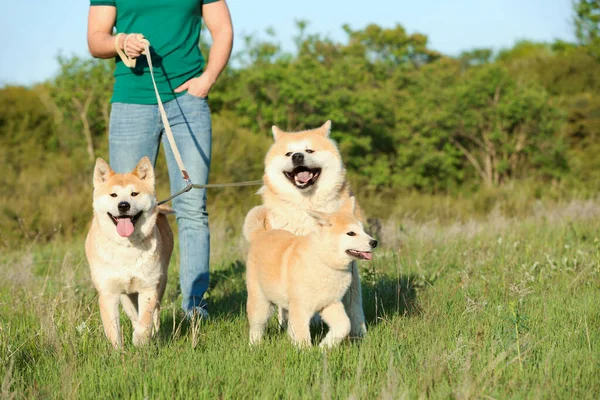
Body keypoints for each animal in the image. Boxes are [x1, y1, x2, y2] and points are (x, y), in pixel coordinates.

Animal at [85, 156, 173, 346]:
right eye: (113, 195)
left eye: (134, 194)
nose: (123, 205)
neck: (126, 247)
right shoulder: (108, 293)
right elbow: (113, 330)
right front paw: (119, 351)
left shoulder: (148, 288)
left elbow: (145, 320)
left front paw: (140, 342)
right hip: (126, 296)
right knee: (134, 314)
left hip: (161, 282)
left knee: (155, 312)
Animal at [243, 198, 376, 348]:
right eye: (351, 233)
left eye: (363, 230)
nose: (374, 242)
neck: (323, 260)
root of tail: (260, 233)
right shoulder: (300, 306)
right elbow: (302, 335)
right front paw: (306, 352)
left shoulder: (330, 303)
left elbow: (344, 325)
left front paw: (325, 346)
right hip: (260, 302)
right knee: (257, 327)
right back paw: (255, 346)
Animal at [255, 119, 368, 338]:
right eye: (289, 153)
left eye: (309, 150)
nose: (298, 156)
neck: (307, 206)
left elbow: (353, 302)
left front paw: (359, 332)